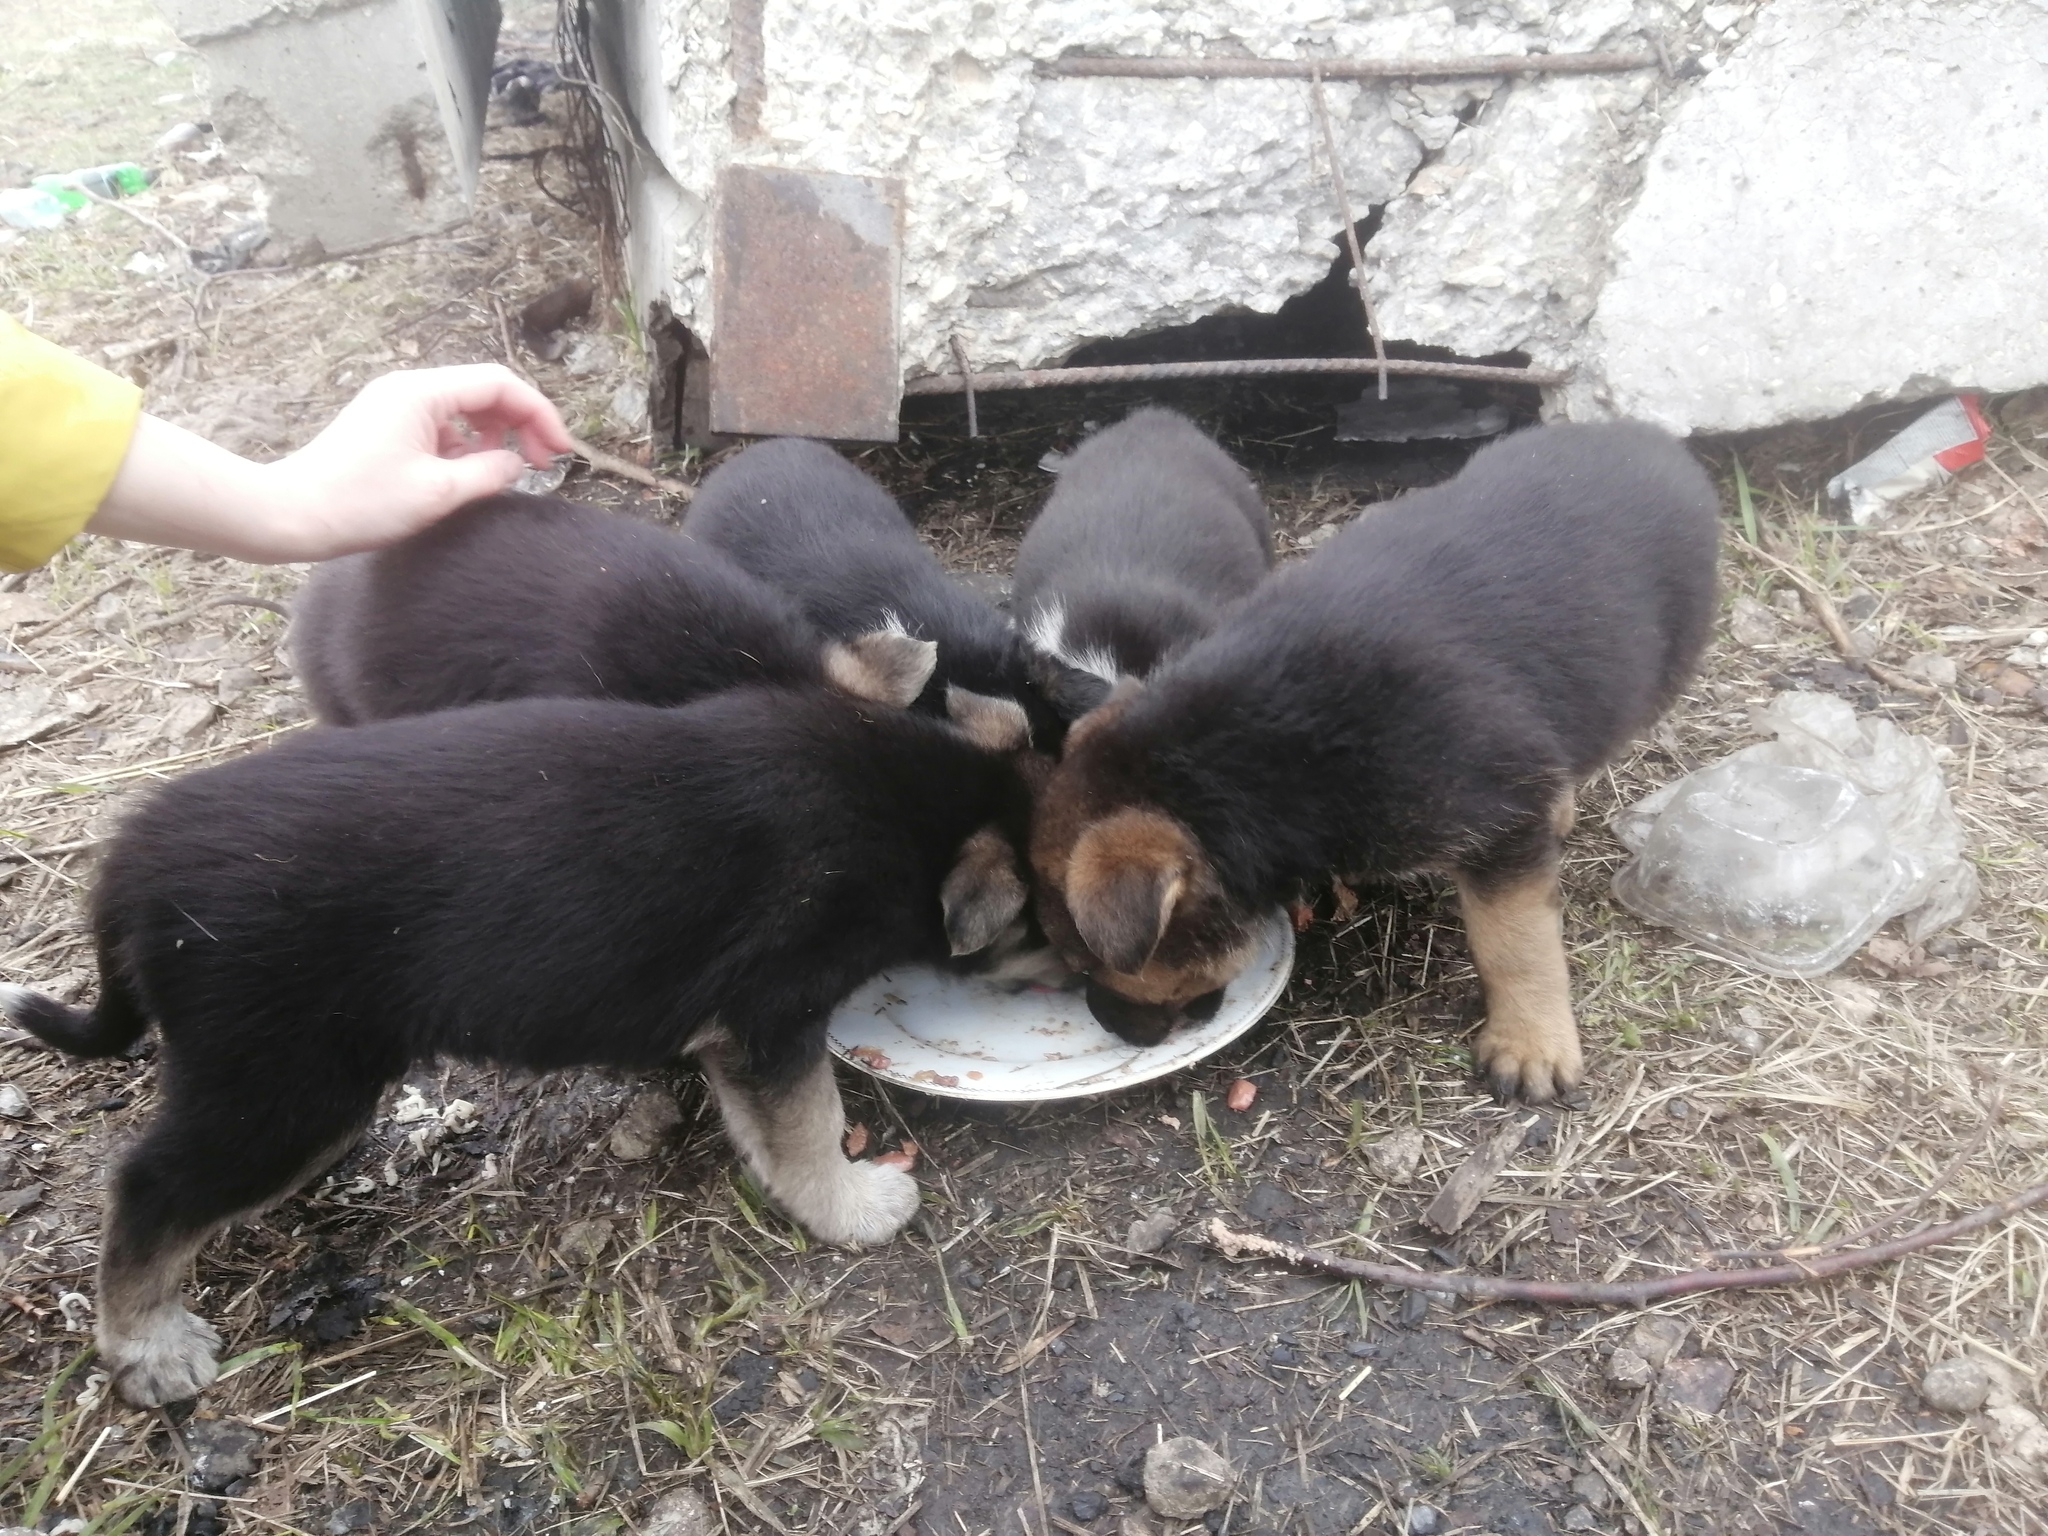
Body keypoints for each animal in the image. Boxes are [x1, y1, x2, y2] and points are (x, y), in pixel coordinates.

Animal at [0, 684, 1040, 1409]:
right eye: (1052, 932)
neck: (909, 799)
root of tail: (130, 869)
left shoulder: (736, 1036)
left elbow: (765, 1128)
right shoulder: (773, 1015)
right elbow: (811, 1124)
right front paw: (853, 1207)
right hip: (282, 1082)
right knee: (150, 1189)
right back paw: (148, 1347)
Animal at [1032, 421, 1720, 1097]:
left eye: (1087, 963)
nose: (1115, 1031)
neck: (1246, 758)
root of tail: (1655, 440)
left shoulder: (1499, 829)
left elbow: (1514, 941)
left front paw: (1530, 1044)